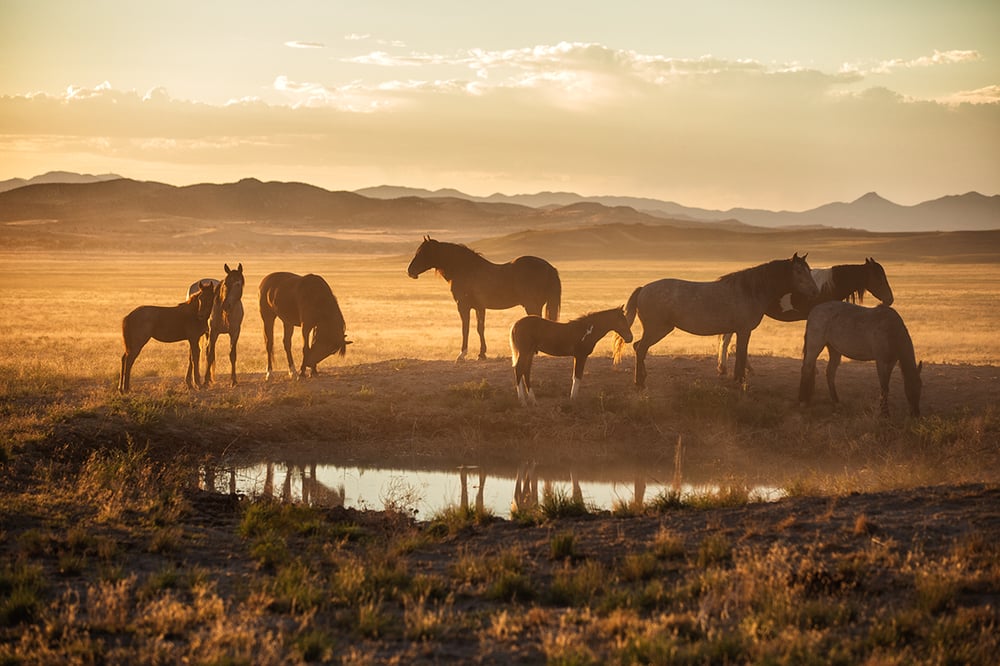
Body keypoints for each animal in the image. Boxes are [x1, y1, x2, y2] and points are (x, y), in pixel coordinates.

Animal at [408, 233, 564, 358]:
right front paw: (482, 353)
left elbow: (465, 328)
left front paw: (462, 354)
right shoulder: (479, 307)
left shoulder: (463, 306)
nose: (410, 271)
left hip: (531, 305)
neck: (466, 270)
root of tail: (550, 268)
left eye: (422, 253)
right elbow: (480, 328)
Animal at [612, 254, 816, 390]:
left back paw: (642, 378)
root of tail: (643, 289)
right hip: (657, 329)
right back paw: (639, 382)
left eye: (809, 270)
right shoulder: (743, 330)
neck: (749, 290)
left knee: (639, 347)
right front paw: (740, 380)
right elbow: (741, 354)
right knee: (640, 349)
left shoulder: (738, 330)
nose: (814, 290)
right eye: (798, 271)